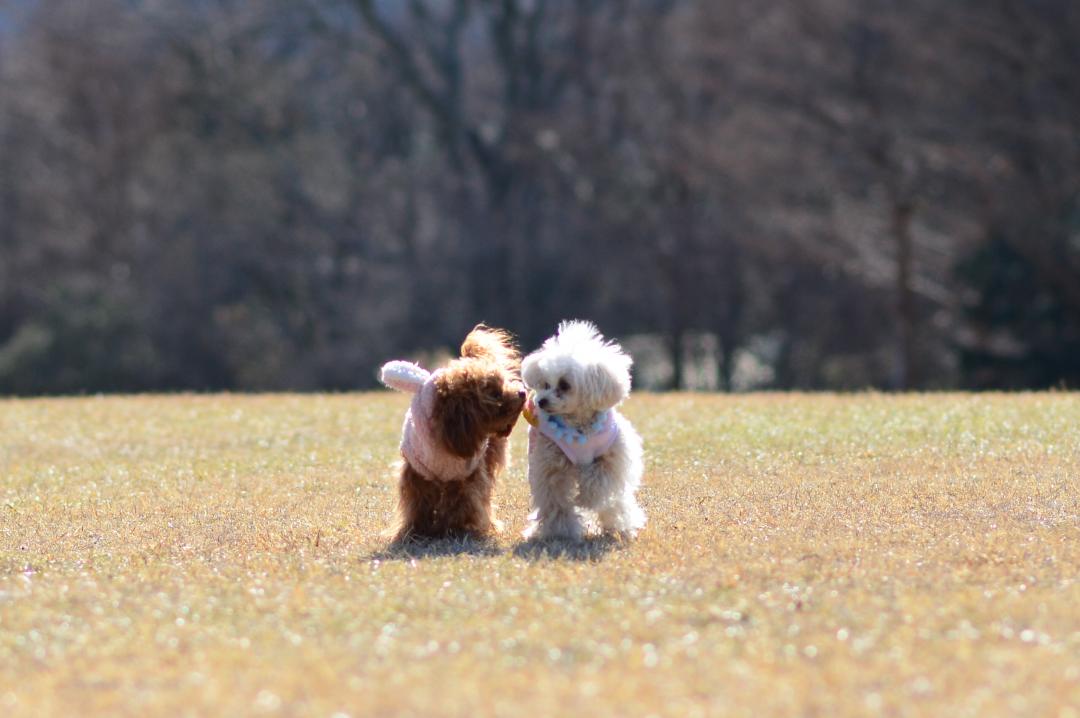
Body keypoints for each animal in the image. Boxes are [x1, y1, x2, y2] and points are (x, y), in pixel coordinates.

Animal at [380, 323, 527, 537]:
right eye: (494, 393)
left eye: (503, 383)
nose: (522, 393)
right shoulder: (417, 473)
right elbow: (418, 501)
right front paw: (416, 528)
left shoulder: (465, 476)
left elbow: (463, 500)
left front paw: (455, 527)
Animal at [520, 319, 643, 537]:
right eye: (545, 384)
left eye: (564, 385)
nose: (541, 401)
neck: (578, 425)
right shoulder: (550, 463)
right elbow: (555, 497)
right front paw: (560, 530)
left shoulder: (612, 457)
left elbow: (598, 480)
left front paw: (584, 498)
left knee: (615, 500)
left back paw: (620, 525)